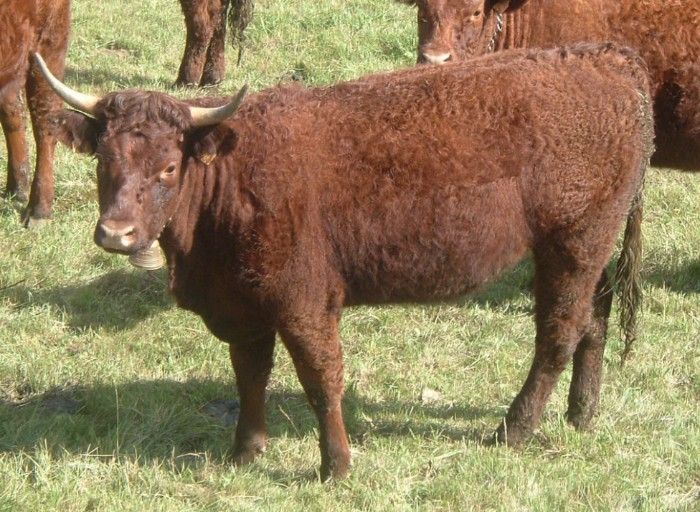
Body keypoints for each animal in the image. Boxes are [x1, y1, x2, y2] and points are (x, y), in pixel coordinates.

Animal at [36, 43, 652, 480]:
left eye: (168, 167)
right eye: (103, 160)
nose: (116, 234)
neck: (234, 177)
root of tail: (607, 56)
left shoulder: (304, 302)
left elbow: (320, 379)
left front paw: (336, 466)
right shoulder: (243, 305)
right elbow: (250, 374)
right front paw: (245, 452)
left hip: (574, 243)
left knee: (559, 331)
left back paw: (513, 430)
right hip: (585, 251)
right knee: (593, 320)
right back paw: (580, 414)